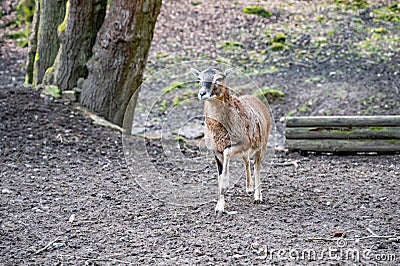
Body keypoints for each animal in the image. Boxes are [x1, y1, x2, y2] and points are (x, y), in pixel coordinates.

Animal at [191, 67, 272, 216]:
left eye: (218, 79)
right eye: (199, 79)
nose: (202, 93)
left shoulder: (238, 145)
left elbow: (227, 157)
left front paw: (226, 185)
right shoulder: (215, 152)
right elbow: (219, 176)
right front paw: (219, 207)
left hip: (261, 147)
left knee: (257, 166)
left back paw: (257, 197)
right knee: (247, 161)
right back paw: (249, 188)